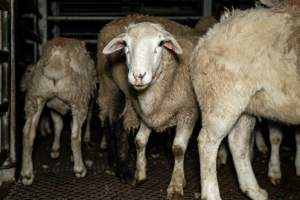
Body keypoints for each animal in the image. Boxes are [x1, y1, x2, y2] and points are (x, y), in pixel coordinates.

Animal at [21, 37, 96, 184]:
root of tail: (57, 56)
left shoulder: (53, 106)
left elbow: (58, 126)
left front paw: (55, 150)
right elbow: (79, 123)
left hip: (36, 97)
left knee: (27, 133)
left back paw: (26, 174)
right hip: (79, 98)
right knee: (75, 136)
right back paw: (80, 169)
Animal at [101, 14, 199, 199]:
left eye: (160, 44)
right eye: (125, 44)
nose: (138, 75)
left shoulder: (188, 112)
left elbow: (178, 148)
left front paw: (176, 186)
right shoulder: (146, 114)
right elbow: (139, 141)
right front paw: (139, 175)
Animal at [190, 3, 300, 200]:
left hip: (247, 104)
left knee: (237, 142)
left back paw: (253, 190)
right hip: (222, 98)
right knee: (207, 142)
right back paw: (212, 194)